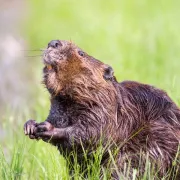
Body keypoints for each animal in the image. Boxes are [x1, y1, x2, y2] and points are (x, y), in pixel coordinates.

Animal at [23, 39, 180, 179]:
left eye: (81, 53)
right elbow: (56, 119)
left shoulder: (105, 110)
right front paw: (30, 125)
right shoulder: (58, 108)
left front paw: (46, 128)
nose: (53, 42)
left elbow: (94, 133)